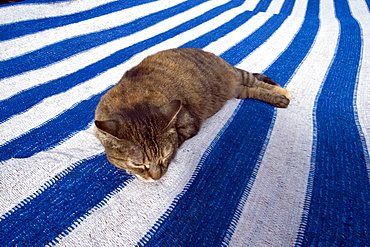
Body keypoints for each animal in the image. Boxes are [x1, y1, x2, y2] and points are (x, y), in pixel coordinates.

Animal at [94, 47, 290, 180]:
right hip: (239, 90)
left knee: (258, 82)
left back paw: (283, 95)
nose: (157, 177)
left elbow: (177, 140)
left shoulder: (189, 124)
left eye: (165, 156)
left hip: (239, 76)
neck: (132, 100)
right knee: (252, 90)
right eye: (137, 163)